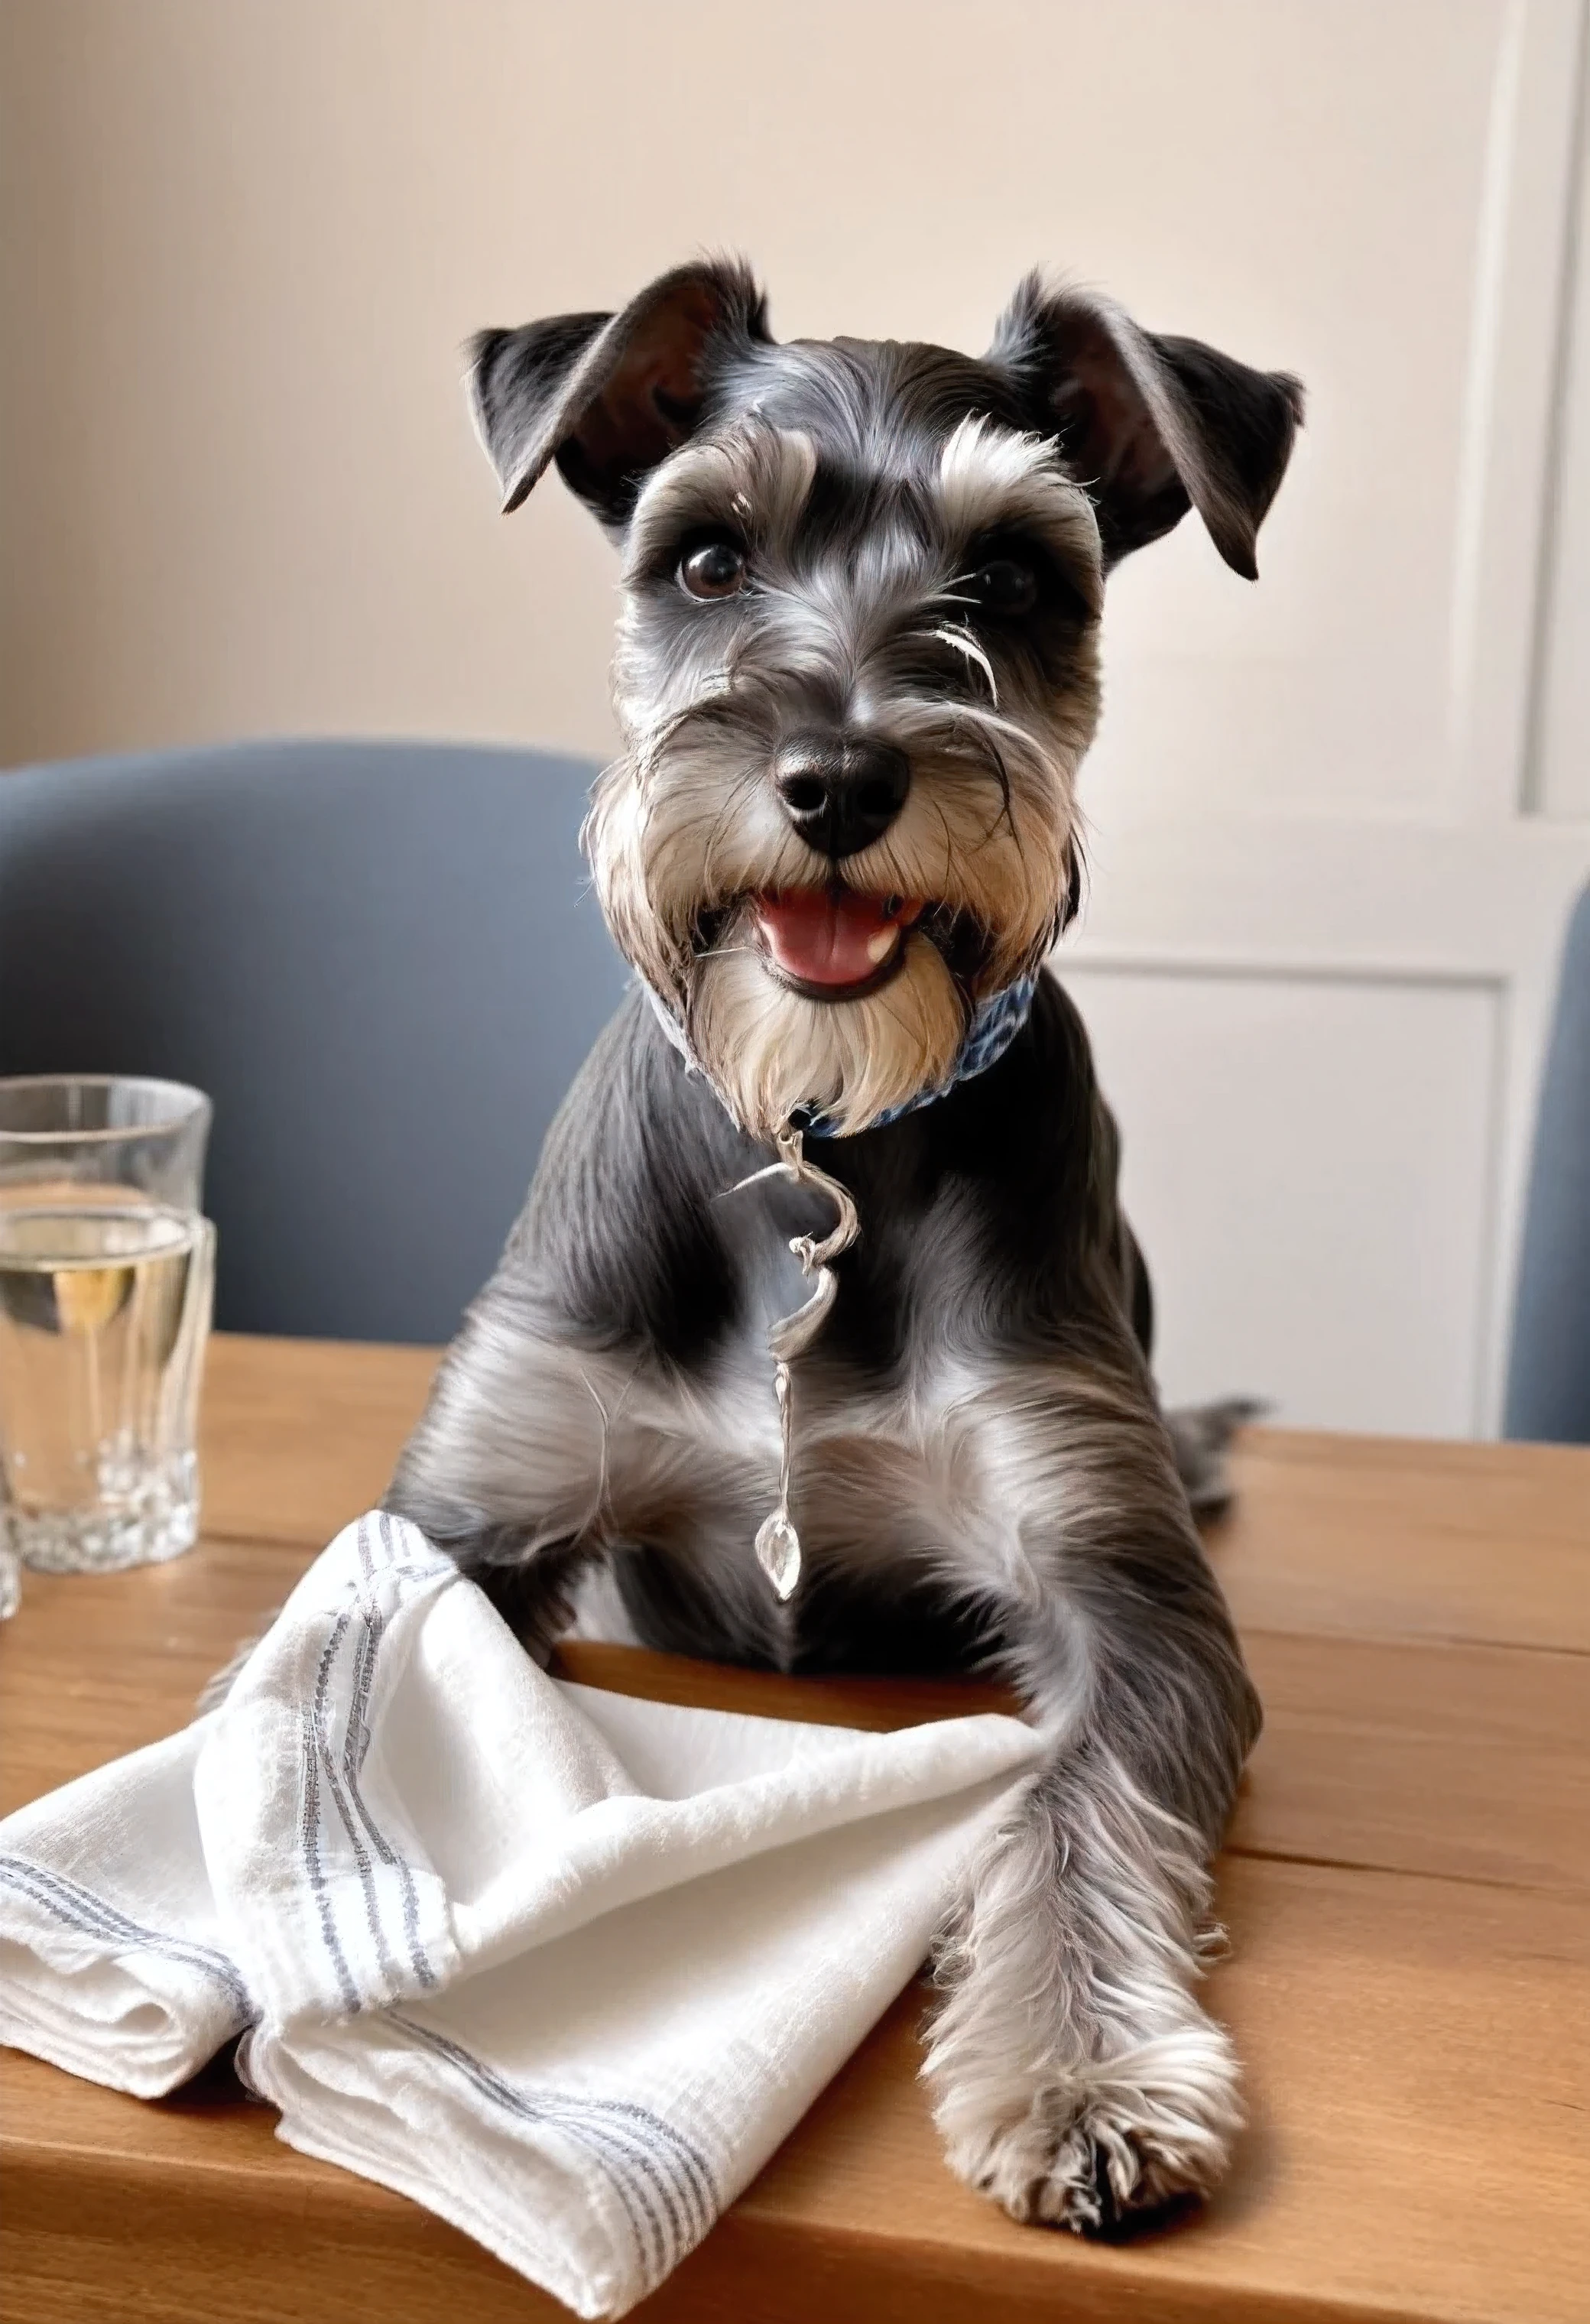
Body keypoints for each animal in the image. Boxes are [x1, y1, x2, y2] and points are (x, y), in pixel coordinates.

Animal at [388, 264, 1301, 2240]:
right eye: (706, 554)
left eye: (1016, 576)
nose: (839, 775)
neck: (818, 1146)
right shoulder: (469, 1511)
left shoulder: (1127, 1602)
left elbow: (1067, 1812)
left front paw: (1084, 2078)